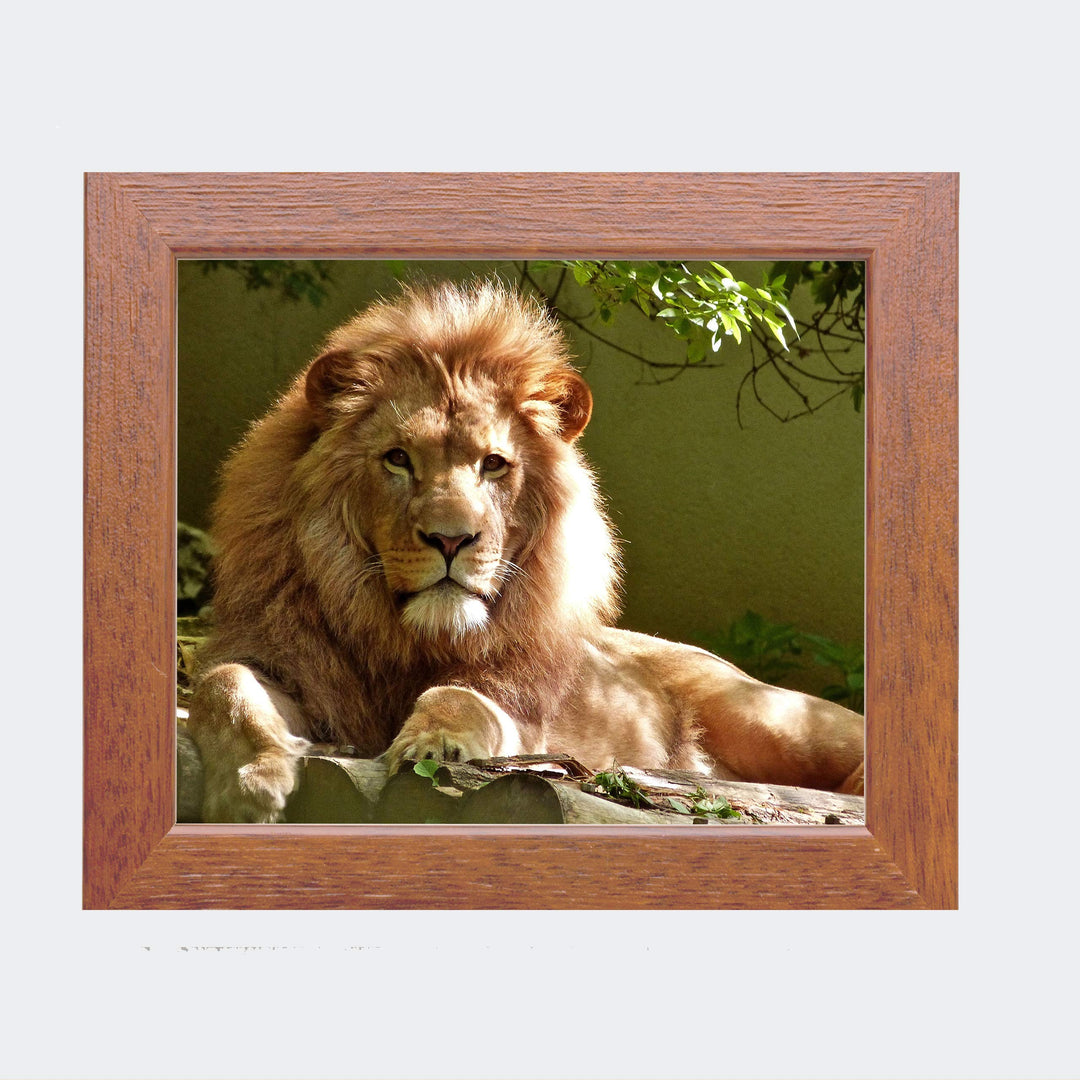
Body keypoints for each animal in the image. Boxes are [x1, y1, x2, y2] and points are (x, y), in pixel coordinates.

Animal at [186, 279, 864, 822]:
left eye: (494, 464)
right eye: (398, 459)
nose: (451, 538)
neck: (404, 637)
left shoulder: (523, 715)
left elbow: (459, 698)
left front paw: (433, 745)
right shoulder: (288, 663)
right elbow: (223, 683)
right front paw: (251, 783)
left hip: (771, 718)